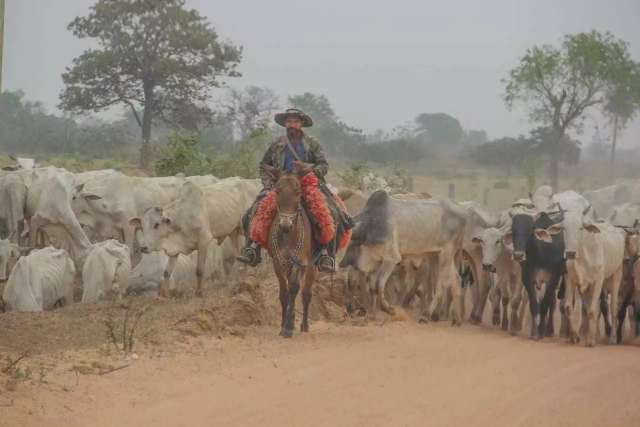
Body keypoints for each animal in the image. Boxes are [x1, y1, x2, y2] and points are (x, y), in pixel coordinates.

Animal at [262, 166, 316, 340]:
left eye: (298, 192)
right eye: (277, 191)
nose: (285, 225)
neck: (288, 236)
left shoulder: (299, 262)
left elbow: (293, 289)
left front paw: (288, 328)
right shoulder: (278, 263)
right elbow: (284, 293)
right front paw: (283, 326)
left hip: (311, 266)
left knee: (306, 293)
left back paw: (304, 325)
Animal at [504, 211, 564, 342]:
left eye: (530, 229)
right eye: (513, 229)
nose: (518, 255)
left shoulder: (552, 280)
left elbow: (545, 305)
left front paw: (541, 331)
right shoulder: (528, 279)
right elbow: (534, 305)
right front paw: (535, 333)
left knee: (551, 304)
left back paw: (549, 330)